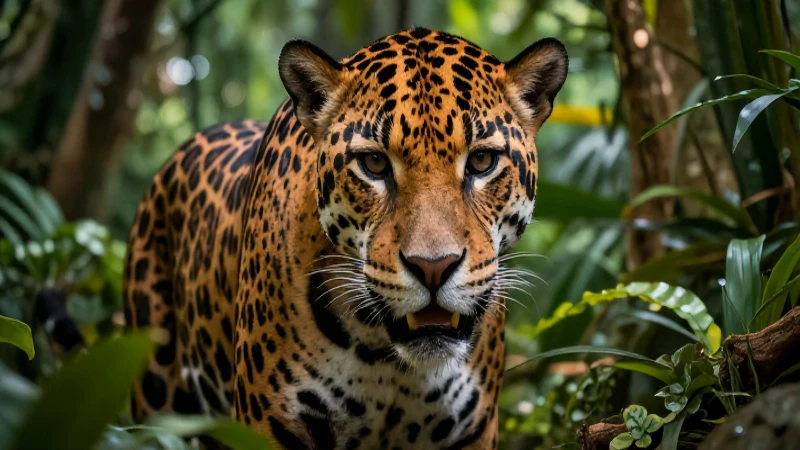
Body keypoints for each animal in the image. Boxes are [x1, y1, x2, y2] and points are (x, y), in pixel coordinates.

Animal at [123, 27, 567, 450]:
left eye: (482, 160)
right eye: (374, 164)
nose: (433, 268)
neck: (386, 361)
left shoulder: (473, 430)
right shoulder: (267, 425)